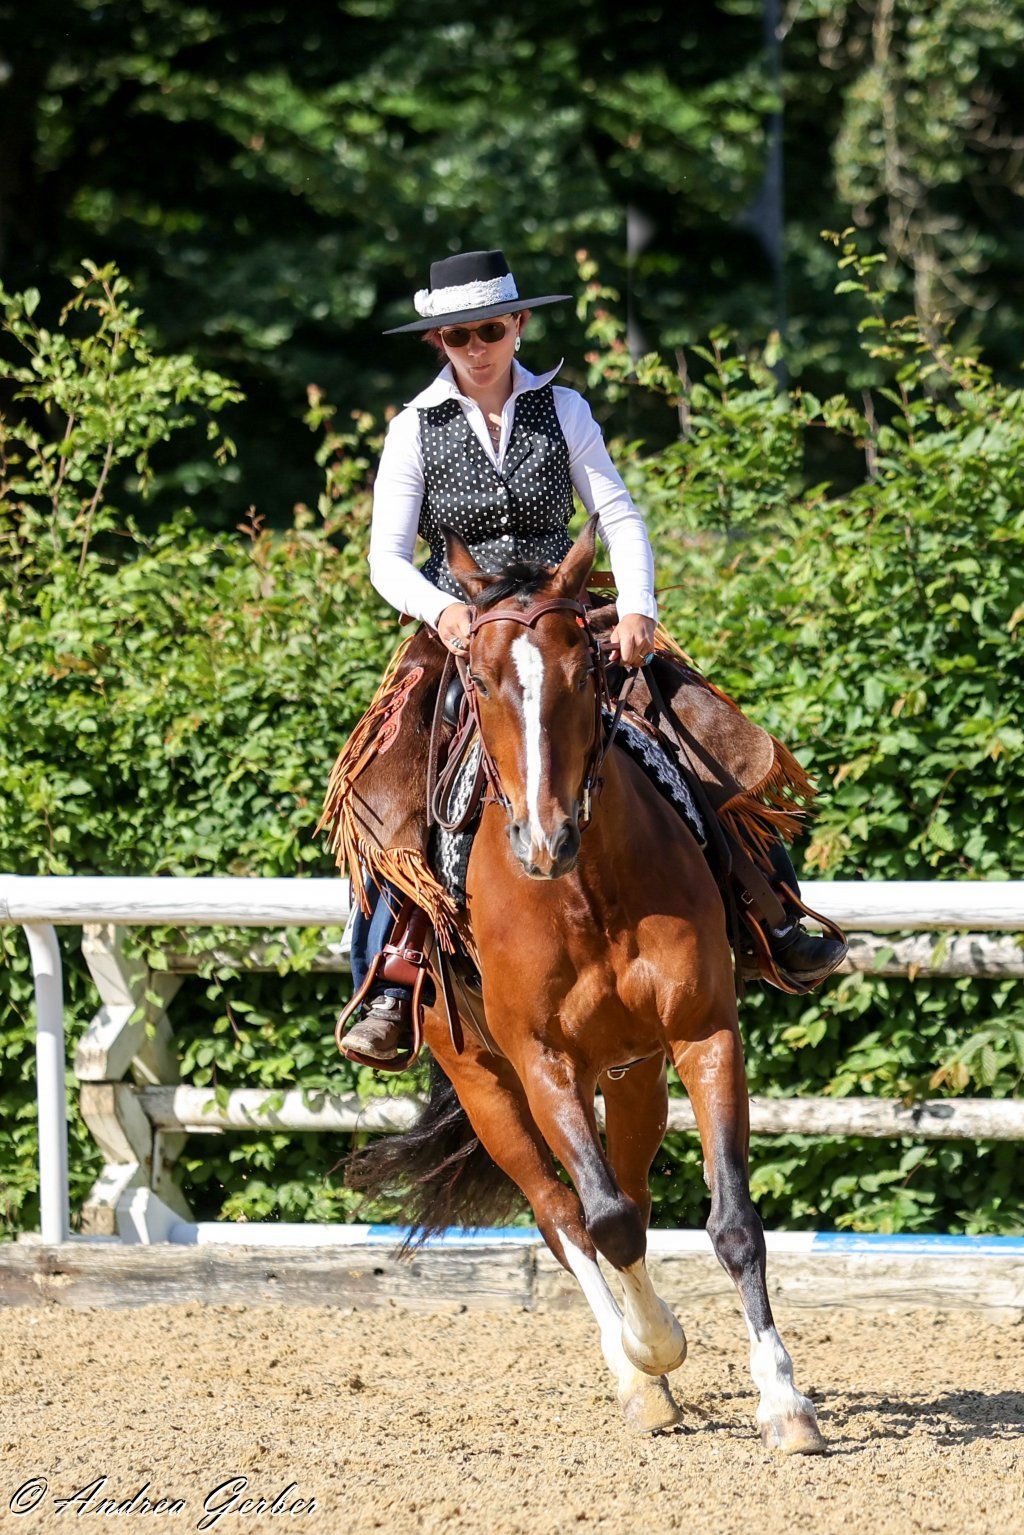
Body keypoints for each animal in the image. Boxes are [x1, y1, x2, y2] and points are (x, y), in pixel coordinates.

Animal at [347, 514, 826, 1452]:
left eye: (585, 671)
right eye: (481, 681)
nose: (545, 838)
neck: (585, 889)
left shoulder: (703, 1034)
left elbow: (731, 1221)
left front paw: (784, 1401)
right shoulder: (544, 1064)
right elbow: (600, 1220)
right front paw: (653, 1352)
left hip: (636, 1072)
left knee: (629, 1192)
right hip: (486, 1084)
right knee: (564, 1214)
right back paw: (638, 1373)